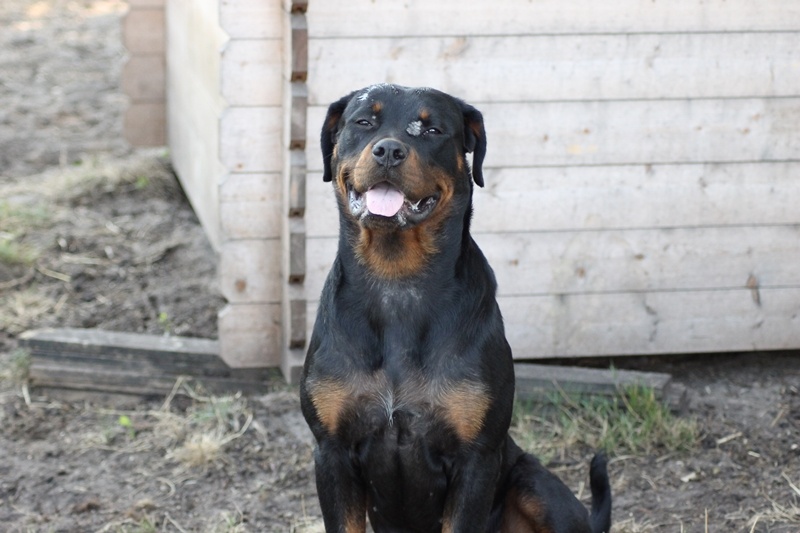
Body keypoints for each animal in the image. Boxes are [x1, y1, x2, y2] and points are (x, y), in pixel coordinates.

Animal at [300, 84, 612, 533]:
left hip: (533, 483)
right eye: (364, 121)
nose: (389, 150)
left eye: (432, 129)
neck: (398, 281)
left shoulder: (476, 459)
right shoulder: (332, 452)